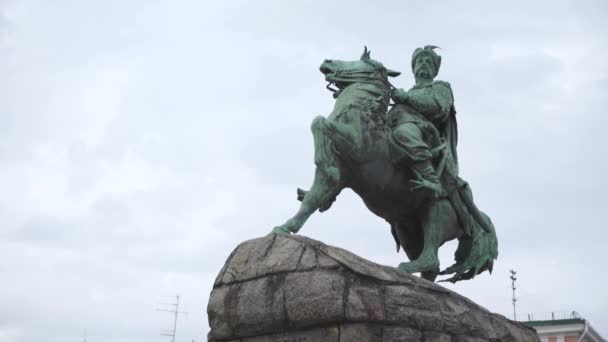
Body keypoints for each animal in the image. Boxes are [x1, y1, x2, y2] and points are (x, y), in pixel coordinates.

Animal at [274, 48, 496, 284]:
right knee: (431, 267)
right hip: (406, 228)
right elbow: (312, 199)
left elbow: (319, 122)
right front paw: (286, 227)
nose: (328, 62)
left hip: (437, 211)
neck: (361, 114)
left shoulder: (356, 146)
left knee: (432, 255)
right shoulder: (339, 177)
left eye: (363, 61)